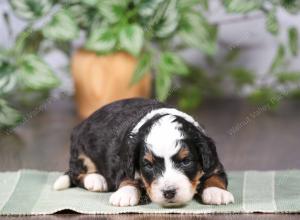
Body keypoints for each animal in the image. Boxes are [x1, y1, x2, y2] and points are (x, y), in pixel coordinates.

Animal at [54, 98, 234, 206]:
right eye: (148, 165)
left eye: (186, 161)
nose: (169, 192)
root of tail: (81, 124)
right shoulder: (124, 163)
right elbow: (127, 178)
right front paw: (124, 194)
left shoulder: (214, 164)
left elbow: (216, 177)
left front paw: (217, 193)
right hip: (81, 151)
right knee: (76, 174)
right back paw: (96, 180)